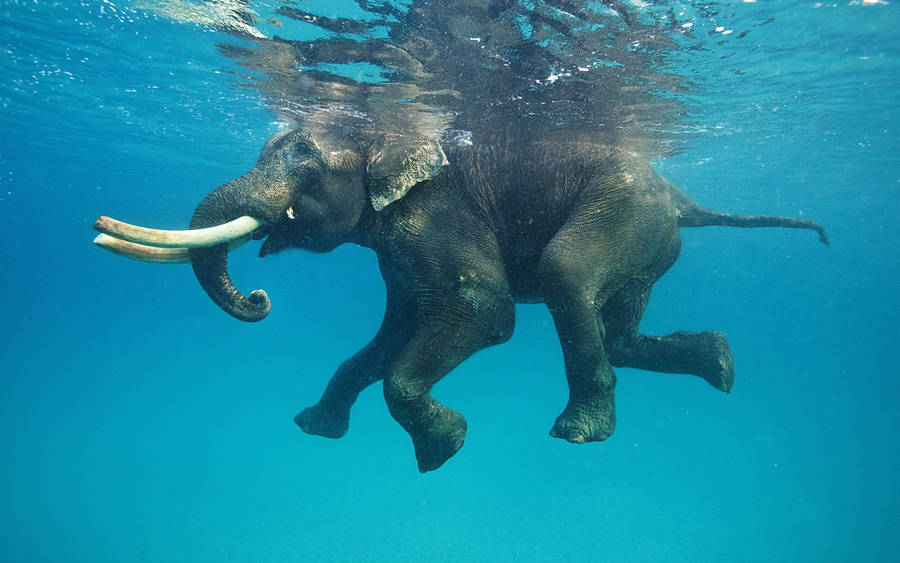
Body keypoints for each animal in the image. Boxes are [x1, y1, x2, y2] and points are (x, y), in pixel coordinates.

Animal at [93, 129, 828, 472]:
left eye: (305, 162)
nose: (257, 296)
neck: (386, 136)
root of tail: (681, 196)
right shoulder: (396, 249)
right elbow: (389, 337)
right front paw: (313, 427)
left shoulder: (439, 214)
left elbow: (484, 314)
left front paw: (442, 448)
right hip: (648, 239)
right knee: (616, 331)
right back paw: (722, 363)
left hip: (625, 213)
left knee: (566, 276)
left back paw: (579, 432)